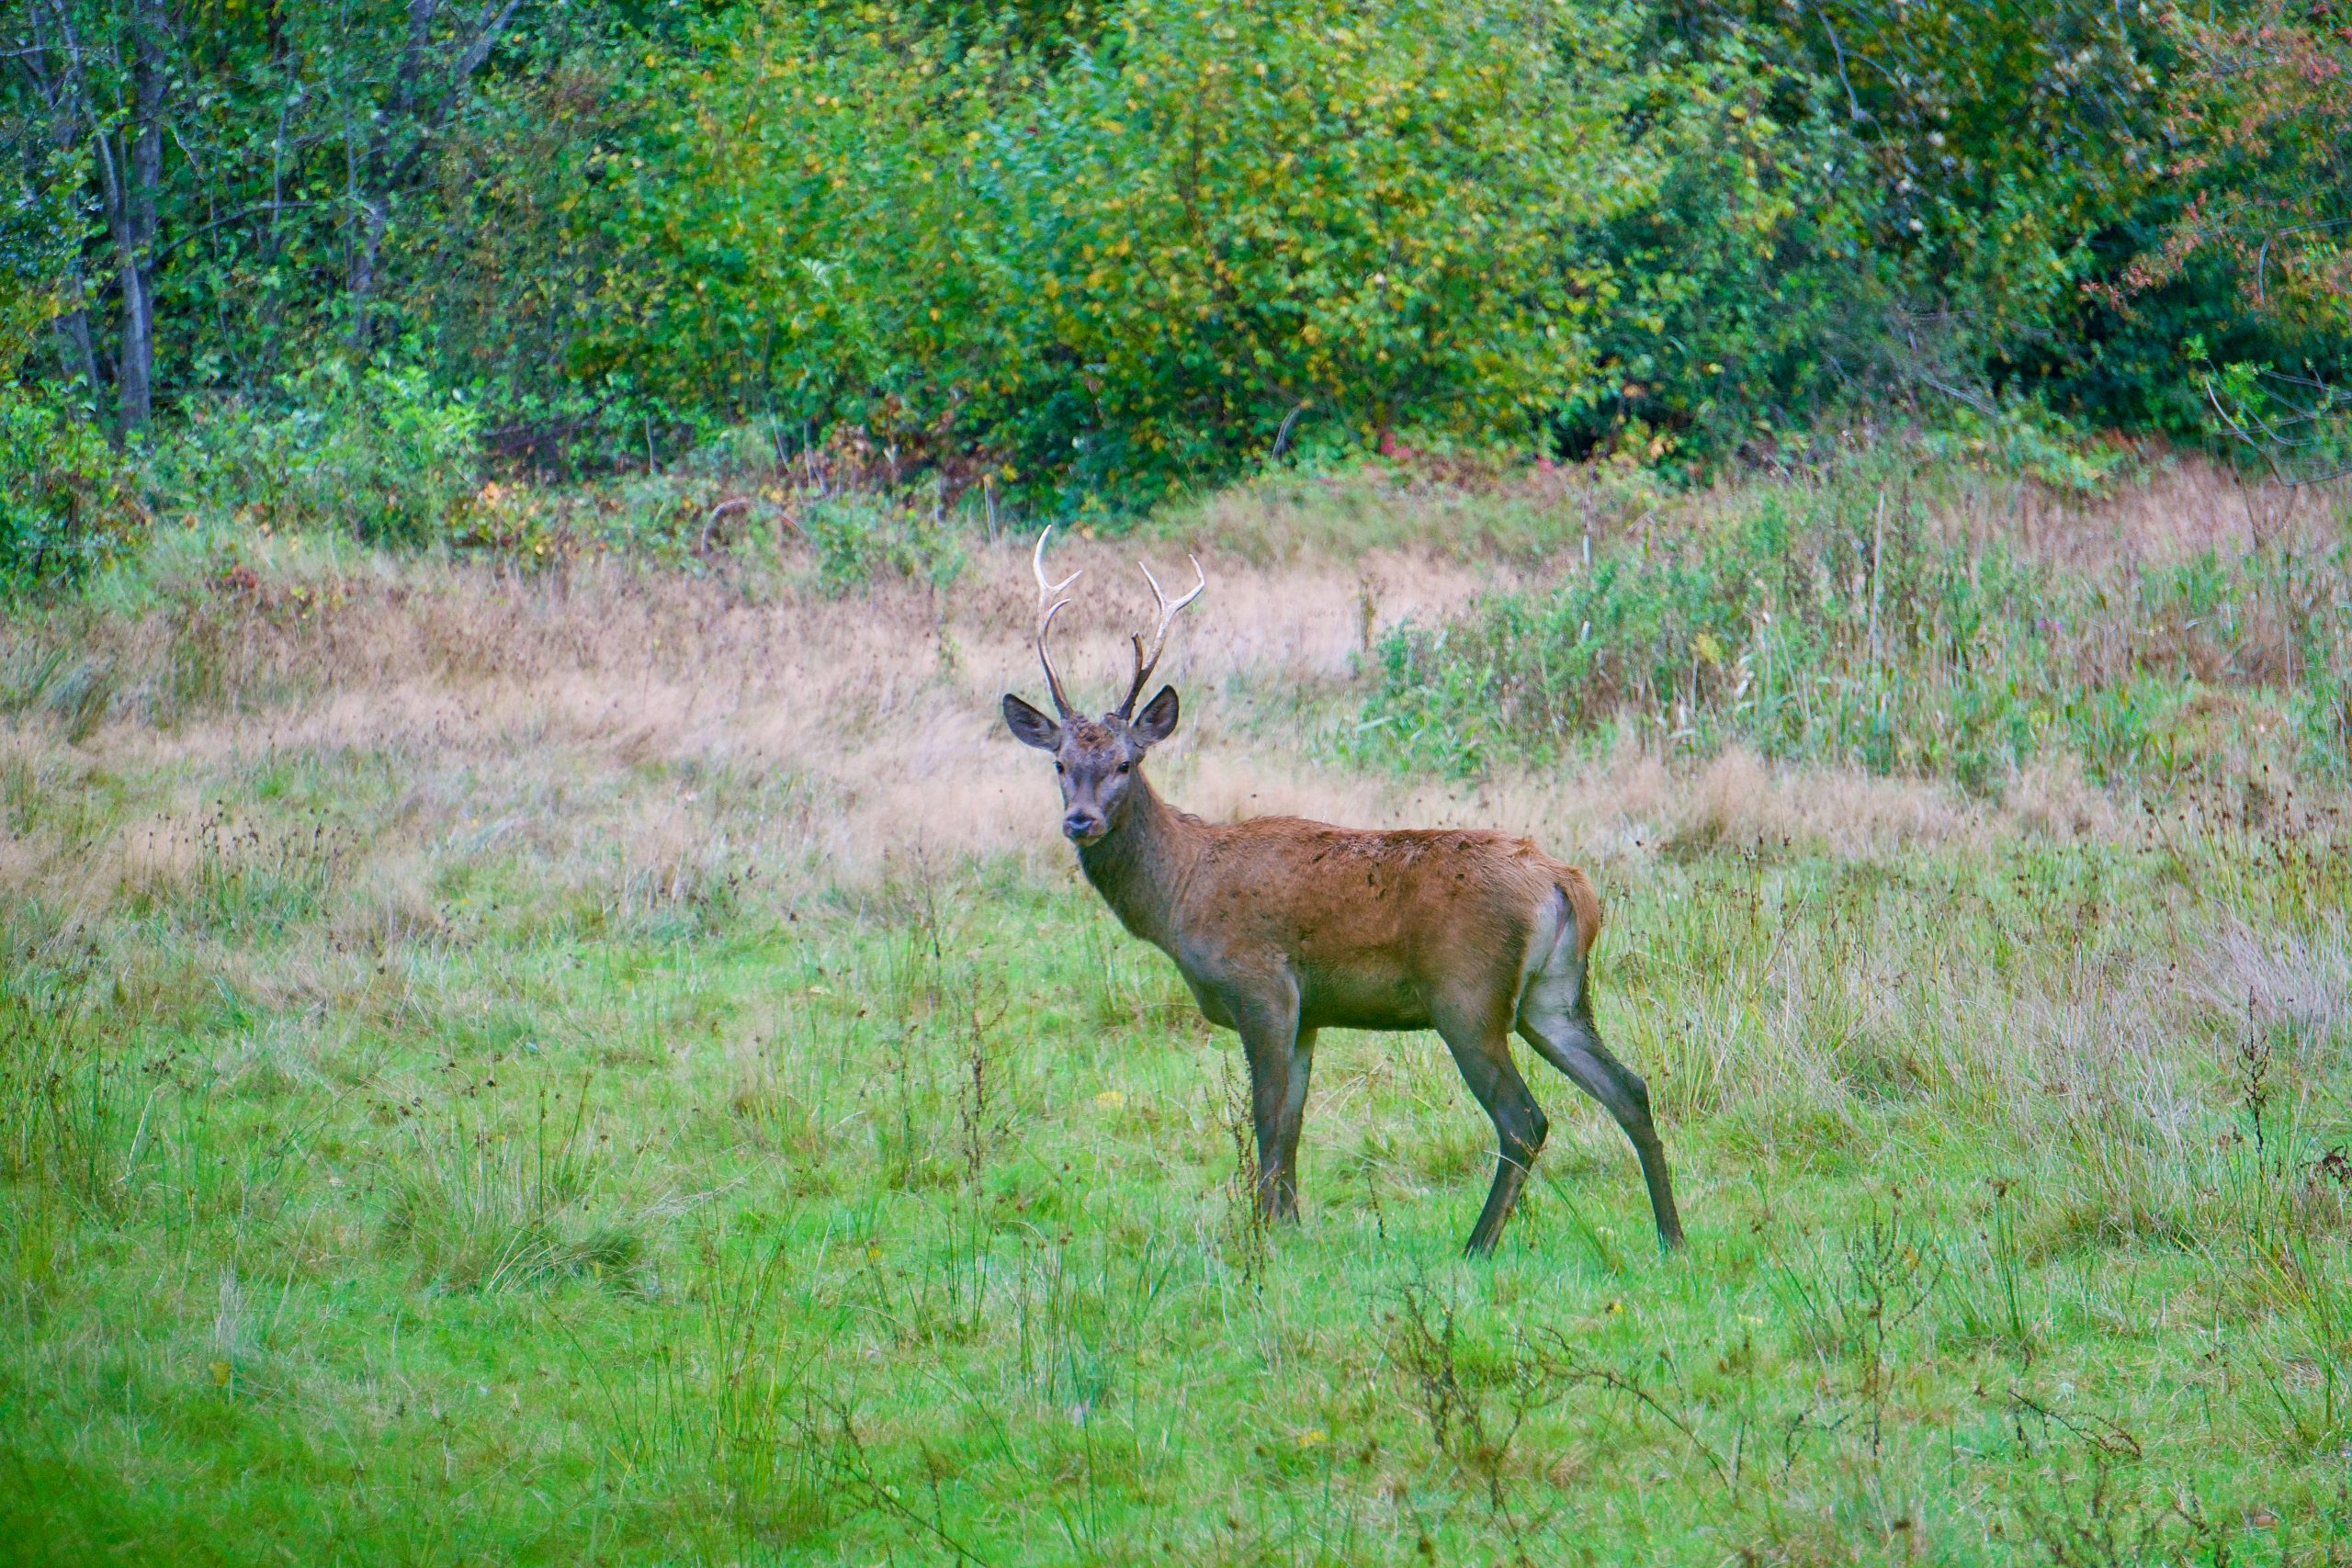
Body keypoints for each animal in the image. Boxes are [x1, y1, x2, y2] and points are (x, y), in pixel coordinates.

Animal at [1001, 533, 1683, 1259]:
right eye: (1060, 764)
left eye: (1126, 763)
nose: (1080, 821)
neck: (1181, 894)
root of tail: (1566, 884)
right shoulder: (1309, 1013)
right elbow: (1293, 1123)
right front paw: (1291, 1226)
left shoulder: (1263, 987)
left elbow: (1267, 1118)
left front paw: (1263, 1235)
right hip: (1554, 996)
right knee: (1630, 1088)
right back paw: (1671, 1237)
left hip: (1468, 995)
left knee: (1524, 1118)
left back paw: (1477, 1246)